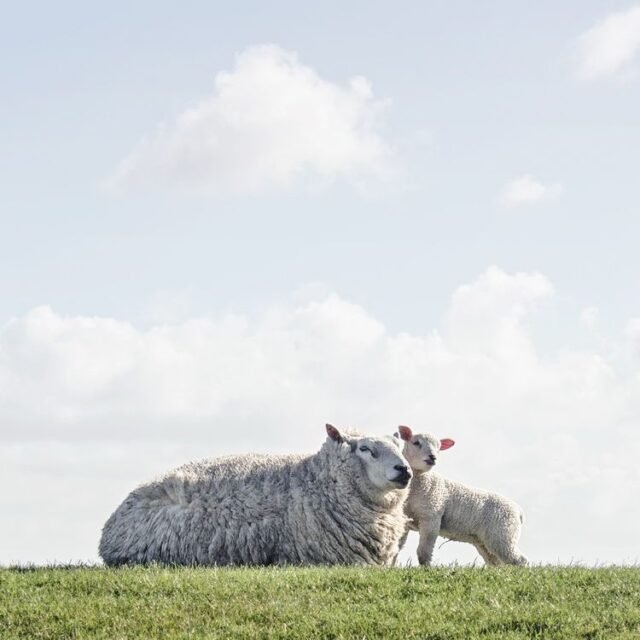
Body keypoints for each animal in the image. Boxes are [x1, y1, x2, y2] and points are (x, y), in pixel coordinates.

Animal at [396, 425, 527, 566]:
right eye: (416, 443)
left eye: (438, 448)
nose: (432, 457)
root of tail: (518, 511)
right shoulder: (403, 520)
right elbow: (397, 547)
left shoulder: (431, 518)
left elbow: (423, 553)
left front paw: (426, 569)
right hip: (485, 541)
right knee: (495, 561)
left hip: (502, 534)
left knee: (518, 560)